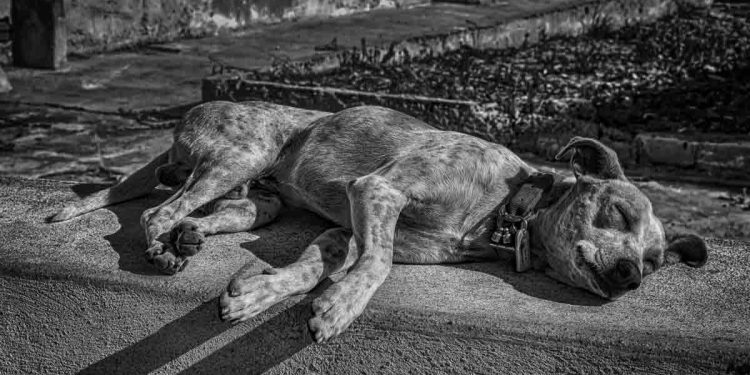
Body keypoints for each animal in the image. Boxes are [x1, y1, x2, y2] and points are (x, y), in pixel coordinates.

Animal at [50, 100, 708, 344]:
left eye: (655, 264)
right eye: (617, 211)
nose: (630, 277)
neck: (505, 208)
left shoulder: (343, 229)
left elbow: (309, 268)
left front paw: (259, 292)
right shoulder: (378, 191)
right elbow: (380, 262)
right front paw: (341, 308)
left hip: (257, 199)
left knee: (208, 211)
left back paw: (187, 239)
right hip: (244, 154)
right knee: (157, 208)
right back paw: (164, 245)